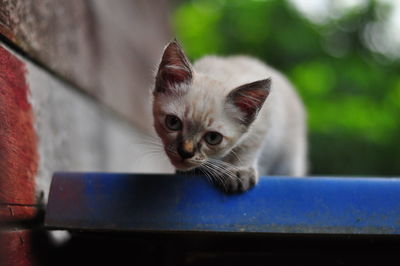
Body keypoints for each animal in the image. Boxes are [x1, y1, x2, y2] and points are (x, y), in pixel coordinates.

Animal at [152, 39, 306, 192]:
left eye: (213, 138)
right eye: (173, 122)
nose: (185, 153)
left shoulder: (266, 119)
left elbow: (248, 147)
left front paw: (237, 171)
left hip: (289, 158)